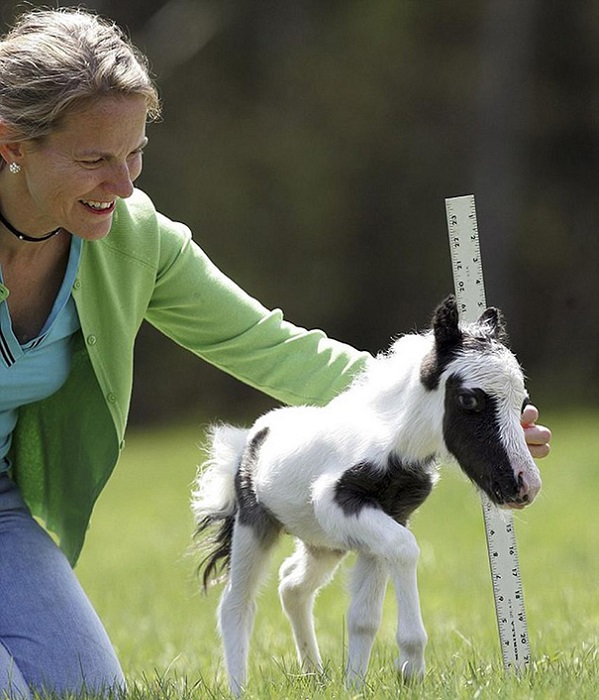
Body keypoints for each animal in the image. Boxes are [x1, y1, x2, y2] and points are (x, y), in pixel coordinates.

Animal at [193, 296, 544, 696]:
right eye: (469, 399)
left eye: (522, 403)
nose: (525, 485)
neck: (392, 443)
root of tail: (250, 437)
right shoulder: (338, 503)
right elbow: (406, 549)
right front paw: (411, 665)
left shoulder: (386, 518)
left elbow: (363, 616)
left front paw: (355, 687)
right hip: (255, 526)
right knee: (236, 602)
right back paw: (240, 688)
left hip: (324, 544)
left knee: (292, 585)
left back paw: (314, 675)